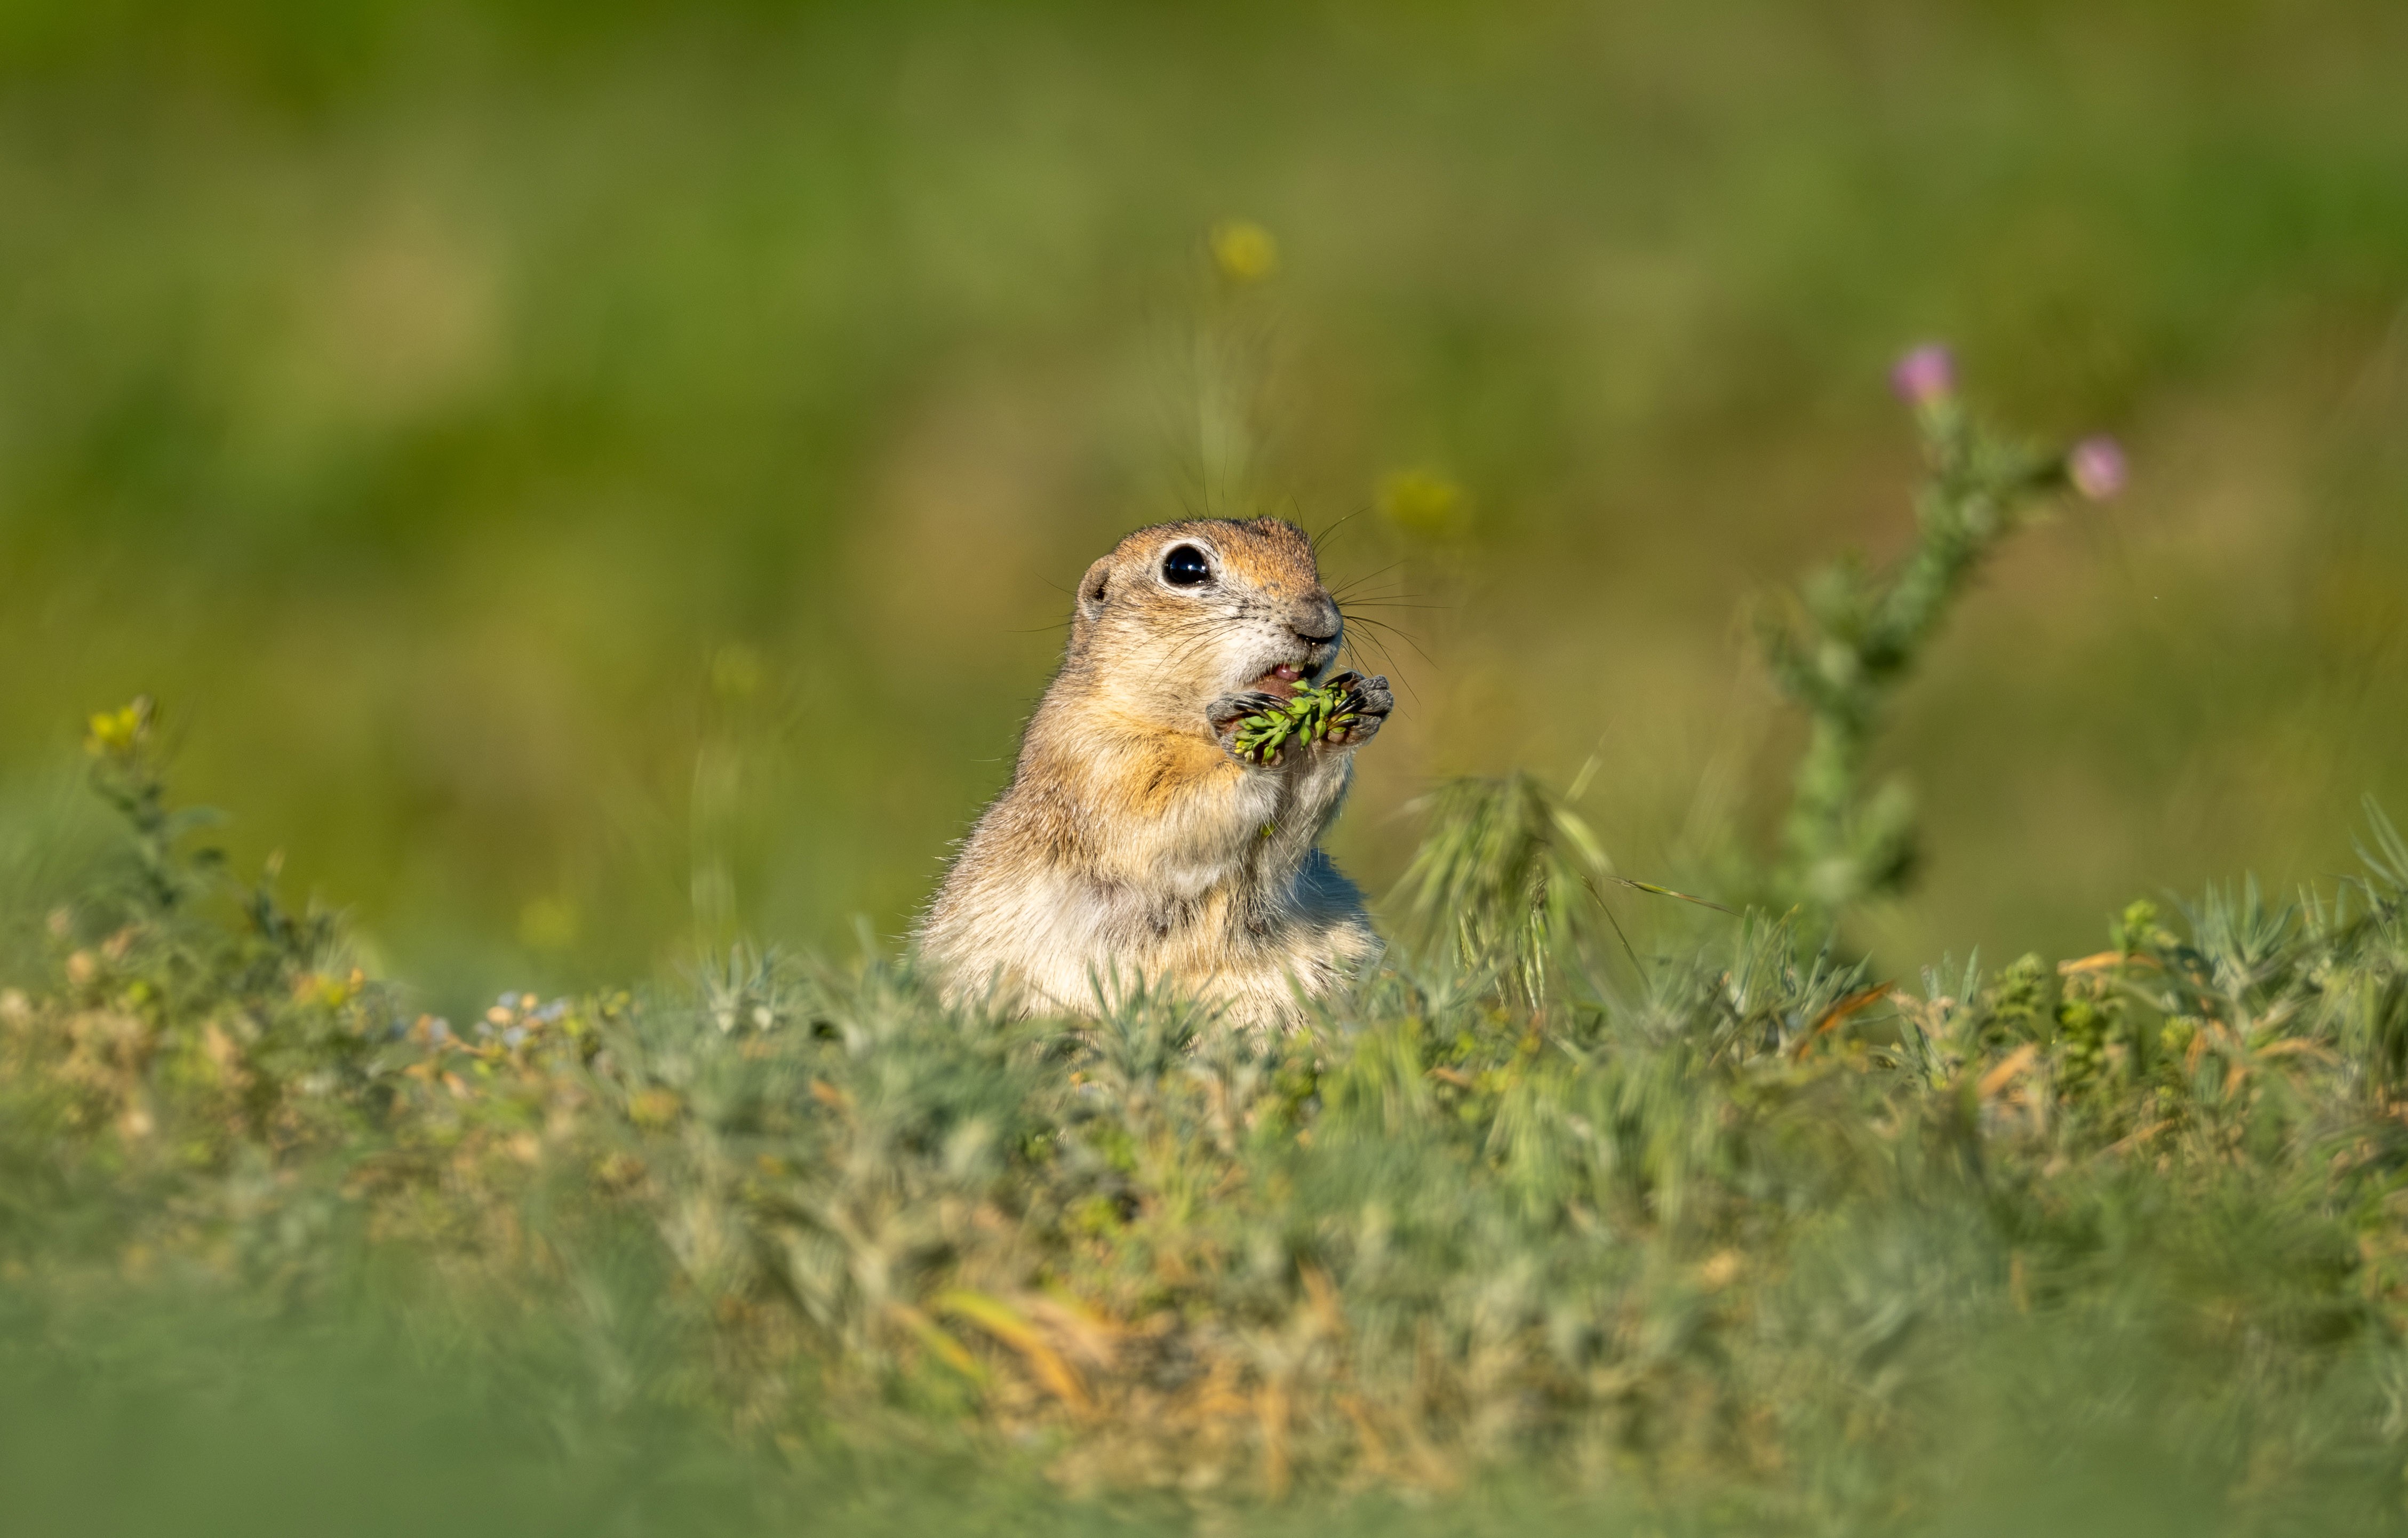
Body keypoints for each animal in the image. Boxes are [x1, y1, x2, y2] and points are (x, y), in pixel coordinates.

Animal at [915, 517, 1393, 1030]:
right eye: (1184, 567)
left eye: (1304, 548)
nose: (1321, 622)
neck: (1192, 728)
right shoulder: (1091, 757)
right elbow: (1161, 818)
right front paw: (1246, 734)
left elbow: (1282, 845)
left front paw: (1353, 708)